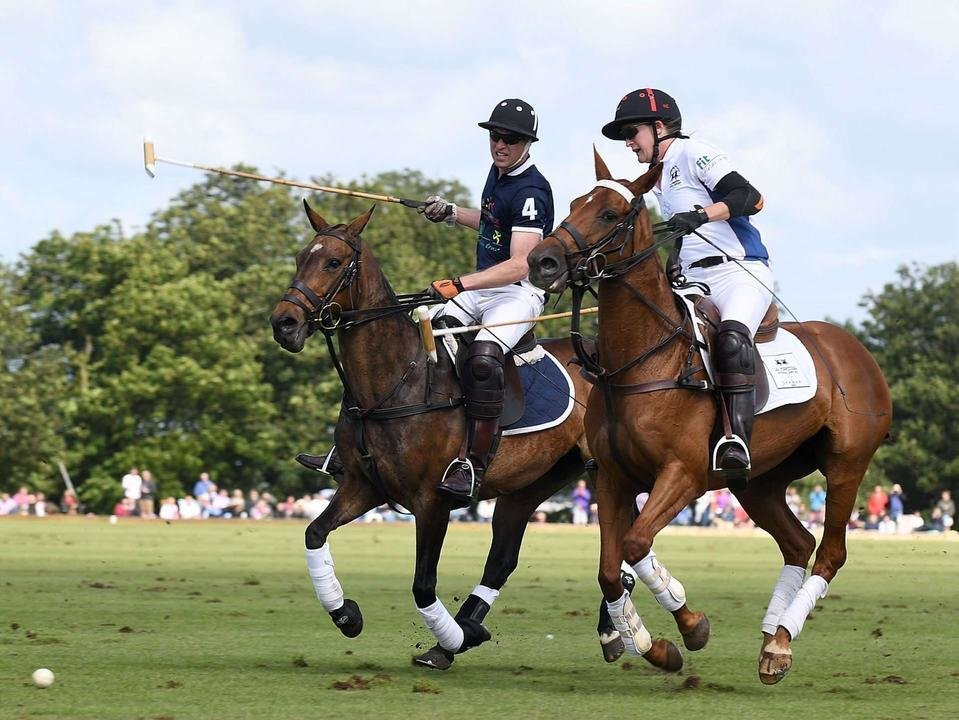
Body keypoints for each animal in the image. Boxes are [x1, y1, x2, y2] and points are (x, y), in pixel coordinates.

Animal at [268, 201, 704, 668]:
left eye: (333, 262)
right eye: (300, 257)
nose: (284, 323)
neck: (395, 382)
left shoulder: (432, 500)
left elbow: (422, 584)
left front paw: (453, 637)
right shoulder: (363, 485)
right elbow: (314, 533)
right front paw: (347, 615)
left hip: (604, 469)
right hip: (535, 483)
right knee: (507, 558)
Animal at [524, 149, 892, 684]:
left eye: (610, 214)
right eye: (573, 204)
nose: (541, 261)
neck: (642, 360)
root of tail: (859, 350)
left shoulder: (684, 474)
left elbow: (635, 544)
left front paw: (690, 627)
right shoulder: (613, 477)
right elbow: (611, 569)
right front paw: (652, 646)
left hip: (846, 462)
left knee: (830, 551)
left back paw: (781, 641)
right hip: (757, 481)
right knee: (798, 543)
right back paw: (771, 643)